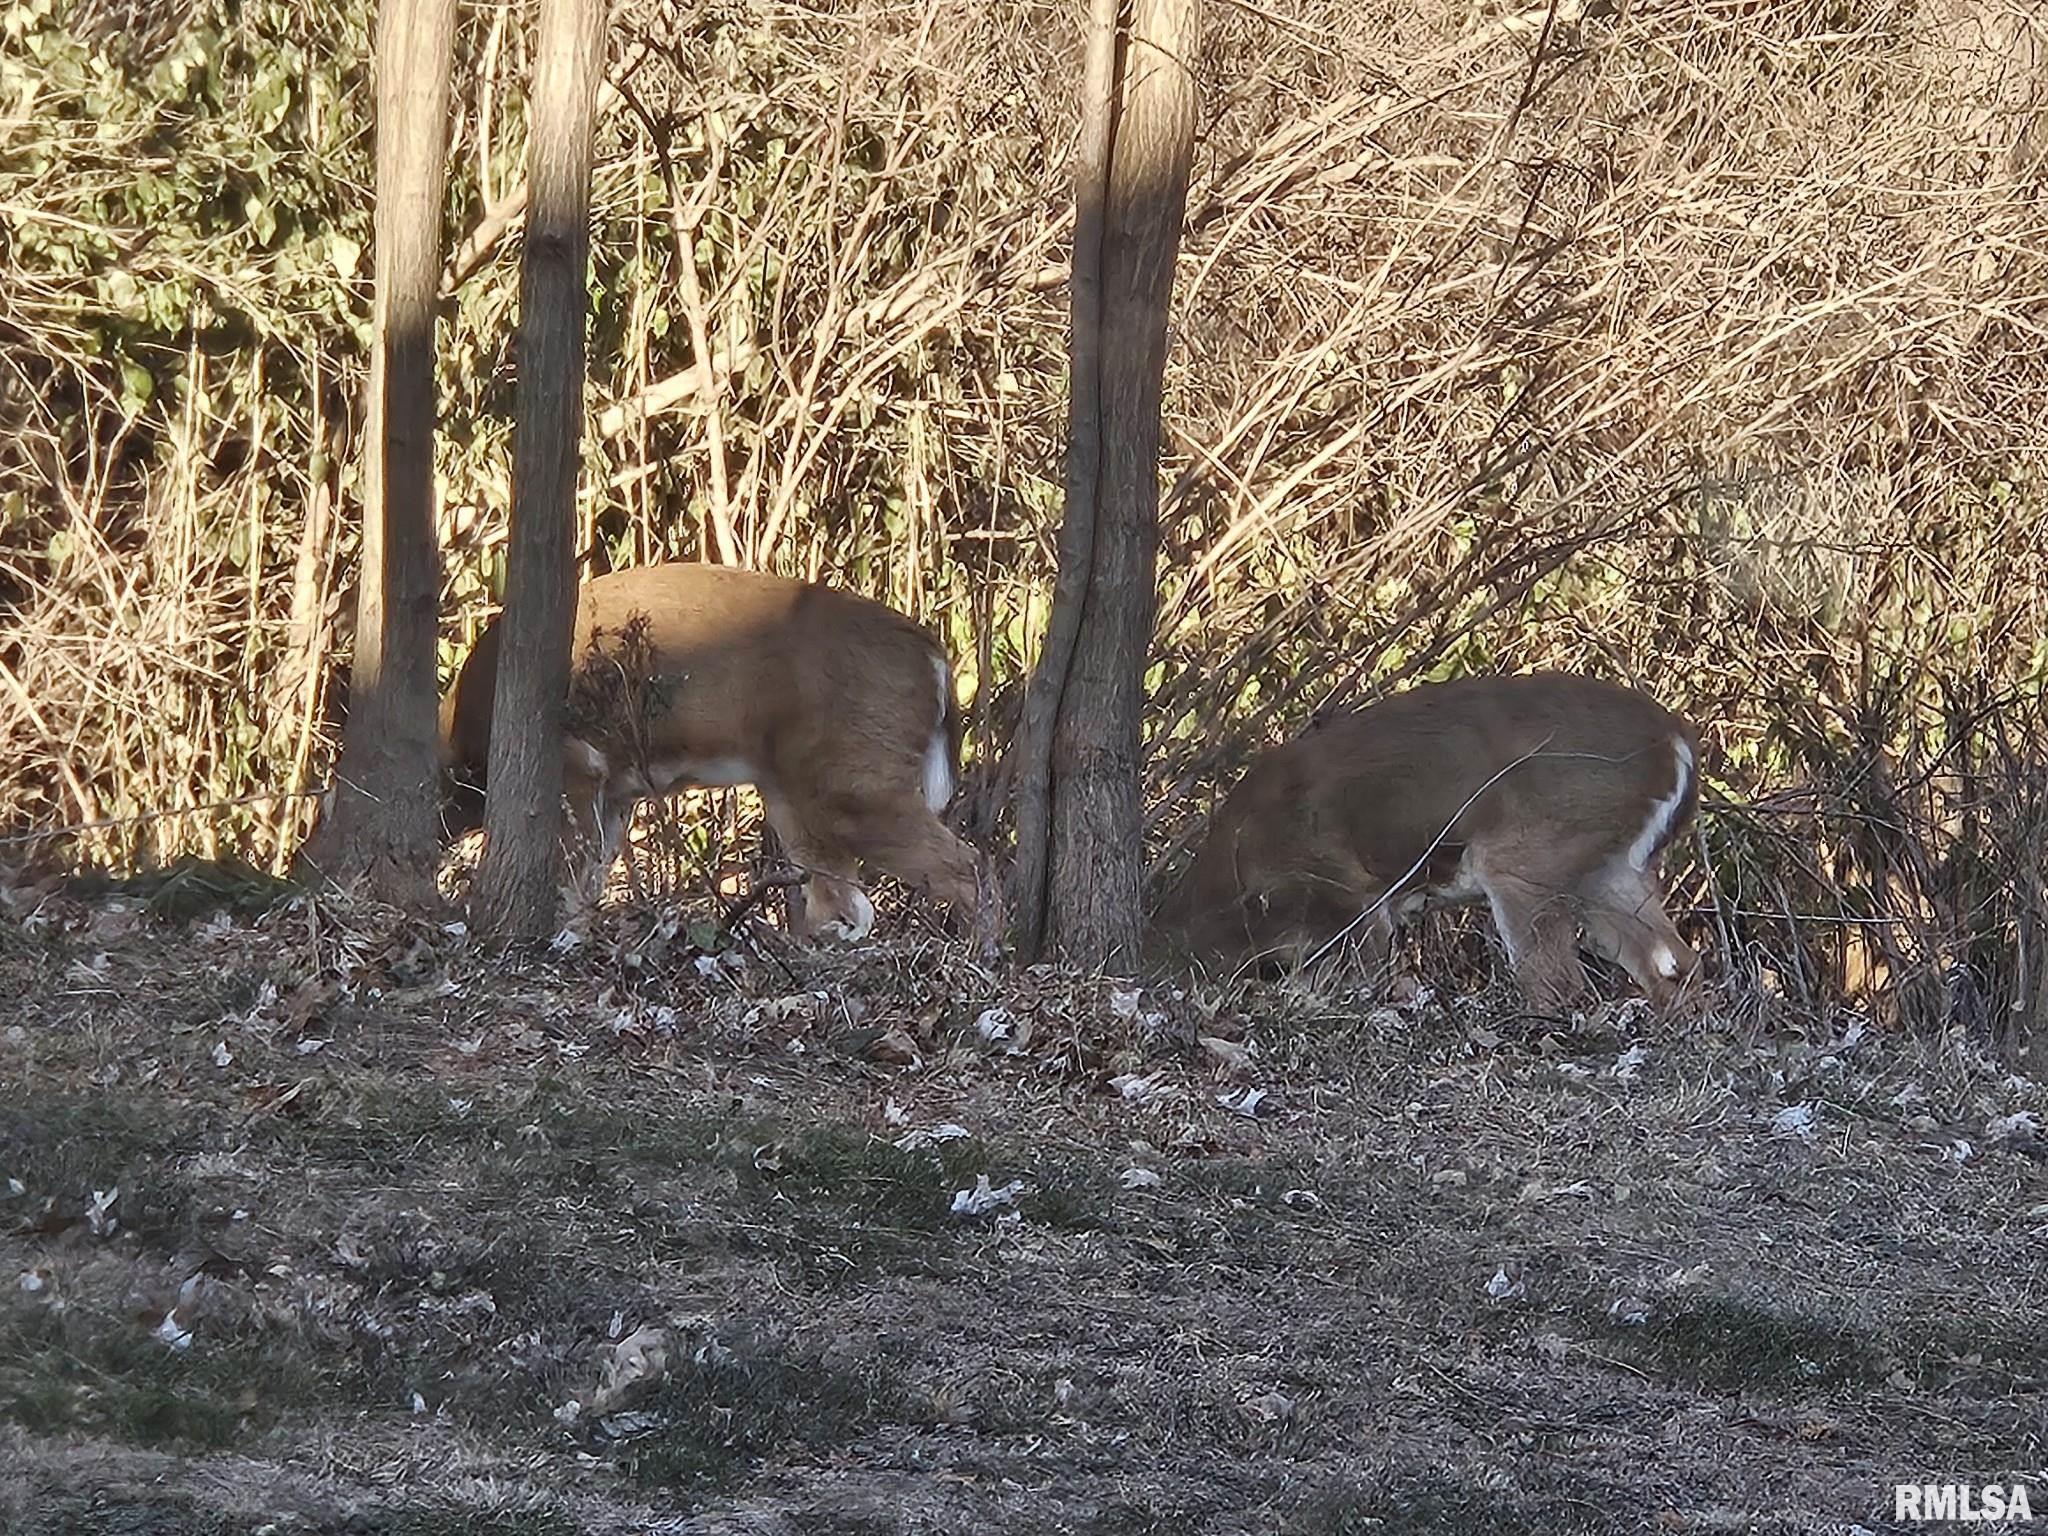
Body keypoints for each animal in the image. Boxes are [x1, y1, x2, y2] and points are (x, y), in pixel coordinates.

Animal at [440, 565, 991, 950]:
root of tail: (936, 657)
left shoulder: (577, 763)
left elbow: (572, 867)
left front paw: (562, 936)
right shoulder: (615, 790)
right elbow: (593, 870)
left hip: (853, 779)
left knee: (966, 865)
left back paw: (979, 954)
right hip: (794, 787)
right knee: (848, 903)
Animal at [1163, 675, 1703, 1015]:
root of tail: (1678, 742)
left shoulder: (1352, 899)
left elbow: (1355, 974)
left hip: (1536, 849)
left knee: (1560, 980)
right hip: (1610, 866)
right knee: (1675, 962)